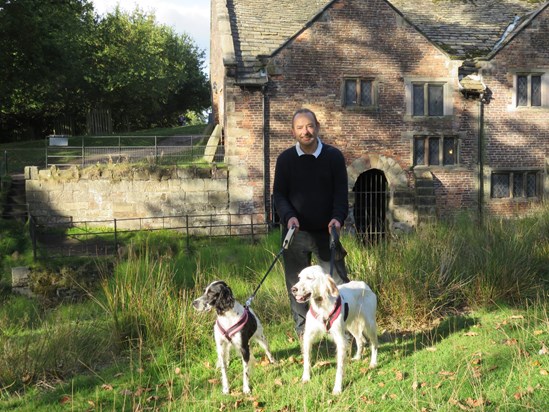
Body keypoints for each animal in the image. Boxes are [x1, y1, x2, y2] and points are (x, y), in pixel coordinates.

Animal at [292, 266, 376, 394]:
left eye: (309, 278)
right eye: (299, 278)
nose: (293, 289)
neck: (321, 307)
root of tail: (364, 285)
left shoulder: (340, 340)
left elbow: (339, 368)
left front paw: (337, 388)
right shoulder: (308, 337)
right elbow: (307, 360)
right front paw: (306, 378)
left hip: (369, 324)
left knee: (374, 344)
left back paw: (373, 363)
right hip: (351, 326)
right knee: (360, 340)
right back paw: (357, 357)